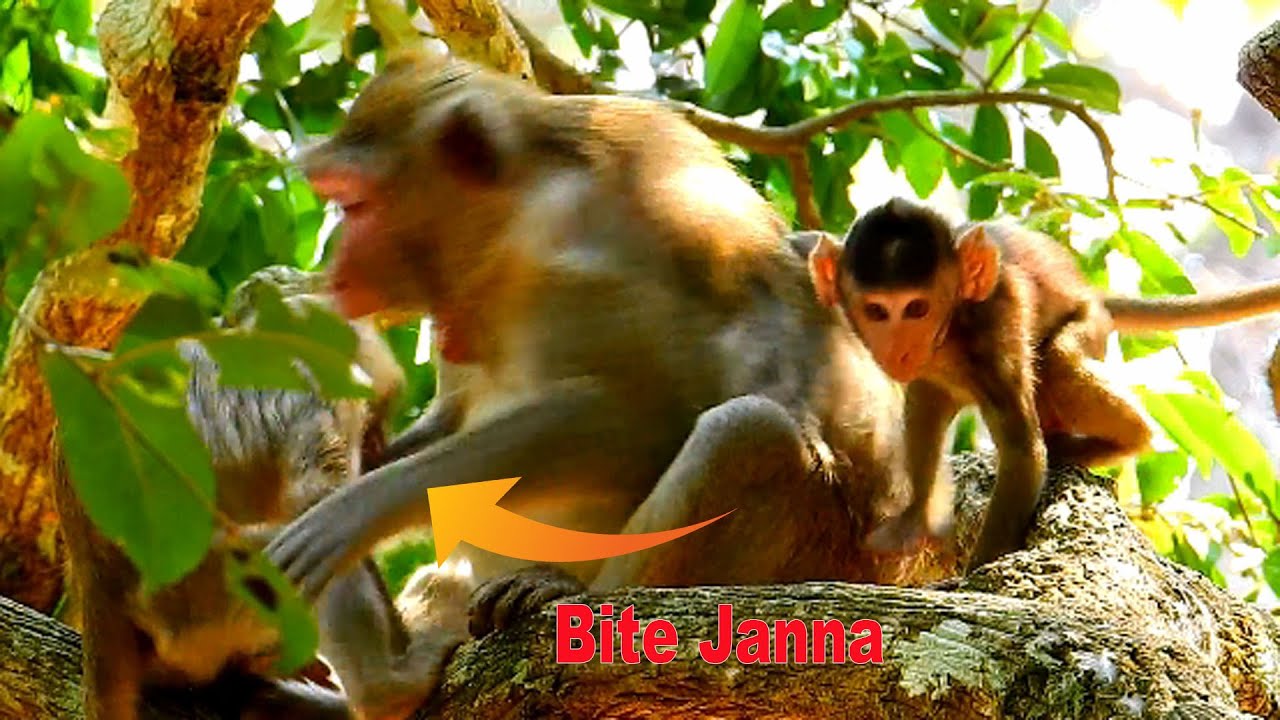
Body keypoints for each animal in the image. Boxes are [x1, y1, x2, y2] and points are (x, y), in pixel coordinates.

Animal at [257, 50, 909, 716]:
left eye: (354, 206)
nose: (334, 262)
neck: (517, 212)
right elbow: (448, 418)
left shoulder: (587, 261)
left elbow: (651, 416)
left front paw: (352, 512)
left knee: (748, 432)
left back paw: (558, 598)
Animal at [806, 197, 1280, 569]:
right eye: (877, 311)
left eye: (916, 308)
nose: (898, 348)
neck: (953, 325)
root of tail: (1091, 294)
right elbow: (924, 406)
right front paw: (913, 522)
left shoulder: (998, 317)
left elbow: (1022, 451)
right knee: (929, 402)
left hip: (1089, 327)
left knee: (1059, 362)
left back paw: (1125, 438)